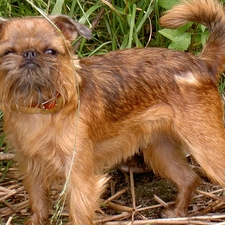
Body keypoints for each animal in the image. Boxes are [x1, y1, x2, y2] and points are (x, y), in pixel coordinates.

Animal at [0, 0, 225, 224]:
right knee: (189, 178)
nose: (30, 53)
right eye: (8, 52)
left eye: (50, 52)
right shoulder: (31, 168)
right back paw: (177, 213)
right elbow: (38, 203)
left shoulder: (80, 179)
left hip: (205, 145)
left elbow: (79, 214)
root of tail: (202, 63)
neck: (39, 108)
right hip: (161, 149)